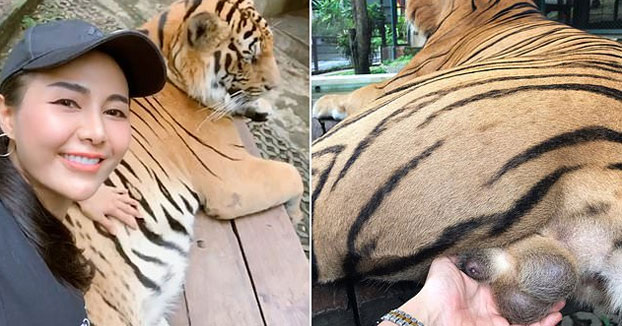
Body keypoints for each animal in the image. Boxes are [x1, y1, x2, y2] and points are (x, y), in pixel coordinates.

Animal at [61, 1, 304, 324]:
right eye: (250, 56)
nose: (274, 87)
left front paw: (261, 108)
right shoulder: (231, 176)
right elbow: (293, 175)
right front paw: (296, 214)